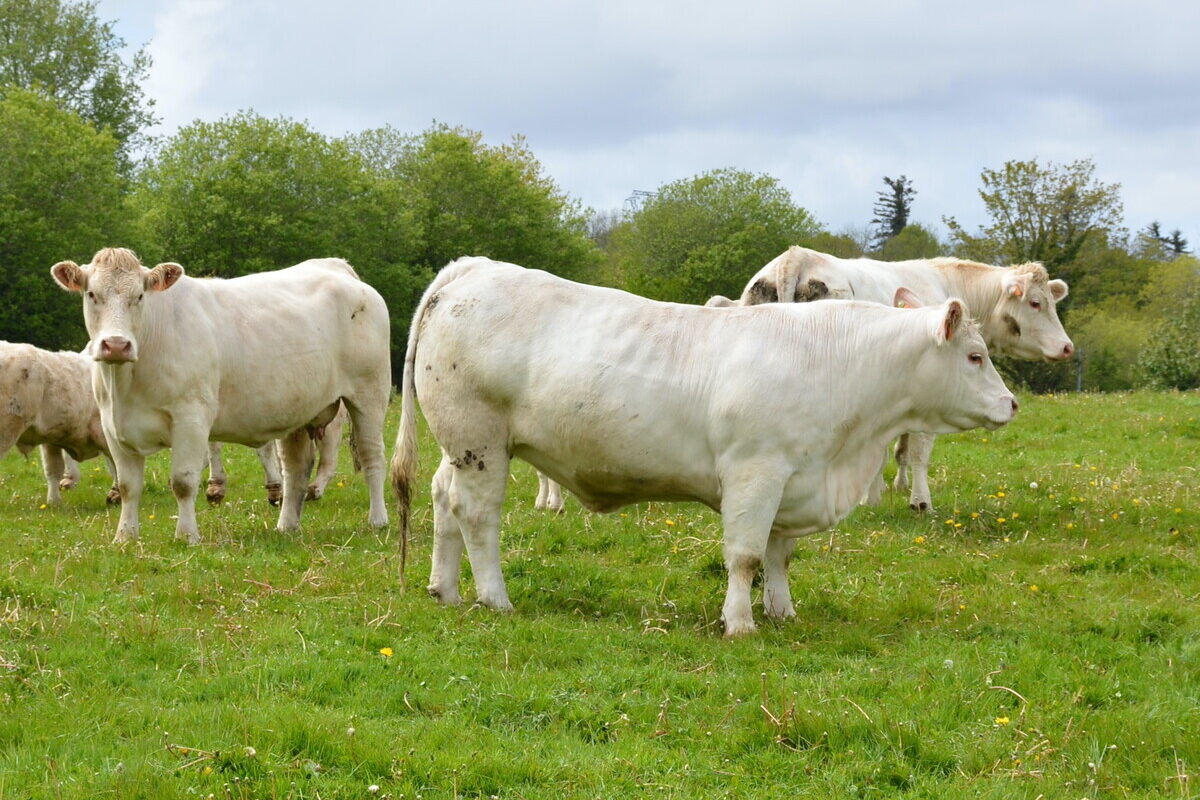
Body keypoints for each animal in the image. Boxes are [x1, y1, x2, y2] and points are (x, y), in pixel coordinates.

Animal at [51, 247, 388, 544]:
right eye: (91, 294)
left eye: (140, 296)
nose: (117, 345)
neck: (127, 384)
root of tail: (336, 267)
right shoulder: (113, 425)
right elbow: (128, 486)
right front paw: (124, 537)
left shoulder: (191, 418)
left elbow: (183, 482)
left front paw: (187, 536)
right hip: (299, 407)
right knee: (295, 468)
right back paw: (286, 526)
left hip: (369, 395)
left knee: (372, 456)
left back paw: (377, 520)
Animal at [391, 260, 1012, 633]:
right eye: (975, 356)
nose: (1011, 404)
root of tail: (472, 269)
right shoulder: (755, 472)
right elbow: (745, 555)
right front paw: (739, 622)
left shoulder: (794, 479)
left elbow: (780, 554)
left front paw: (782, 612)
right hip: (480, 441)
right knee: (476, 514)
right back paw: (494, 597)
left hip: (459, 445)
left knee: (443, 499)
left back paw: (444, 589)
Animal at [729, 247, 1080, 513]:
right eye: (1035, 303)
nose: (1067, 347)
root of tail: (796, 256)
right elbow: (917, 452)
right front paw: (918, 501)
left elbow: (893, 450)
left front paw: (884, 491)